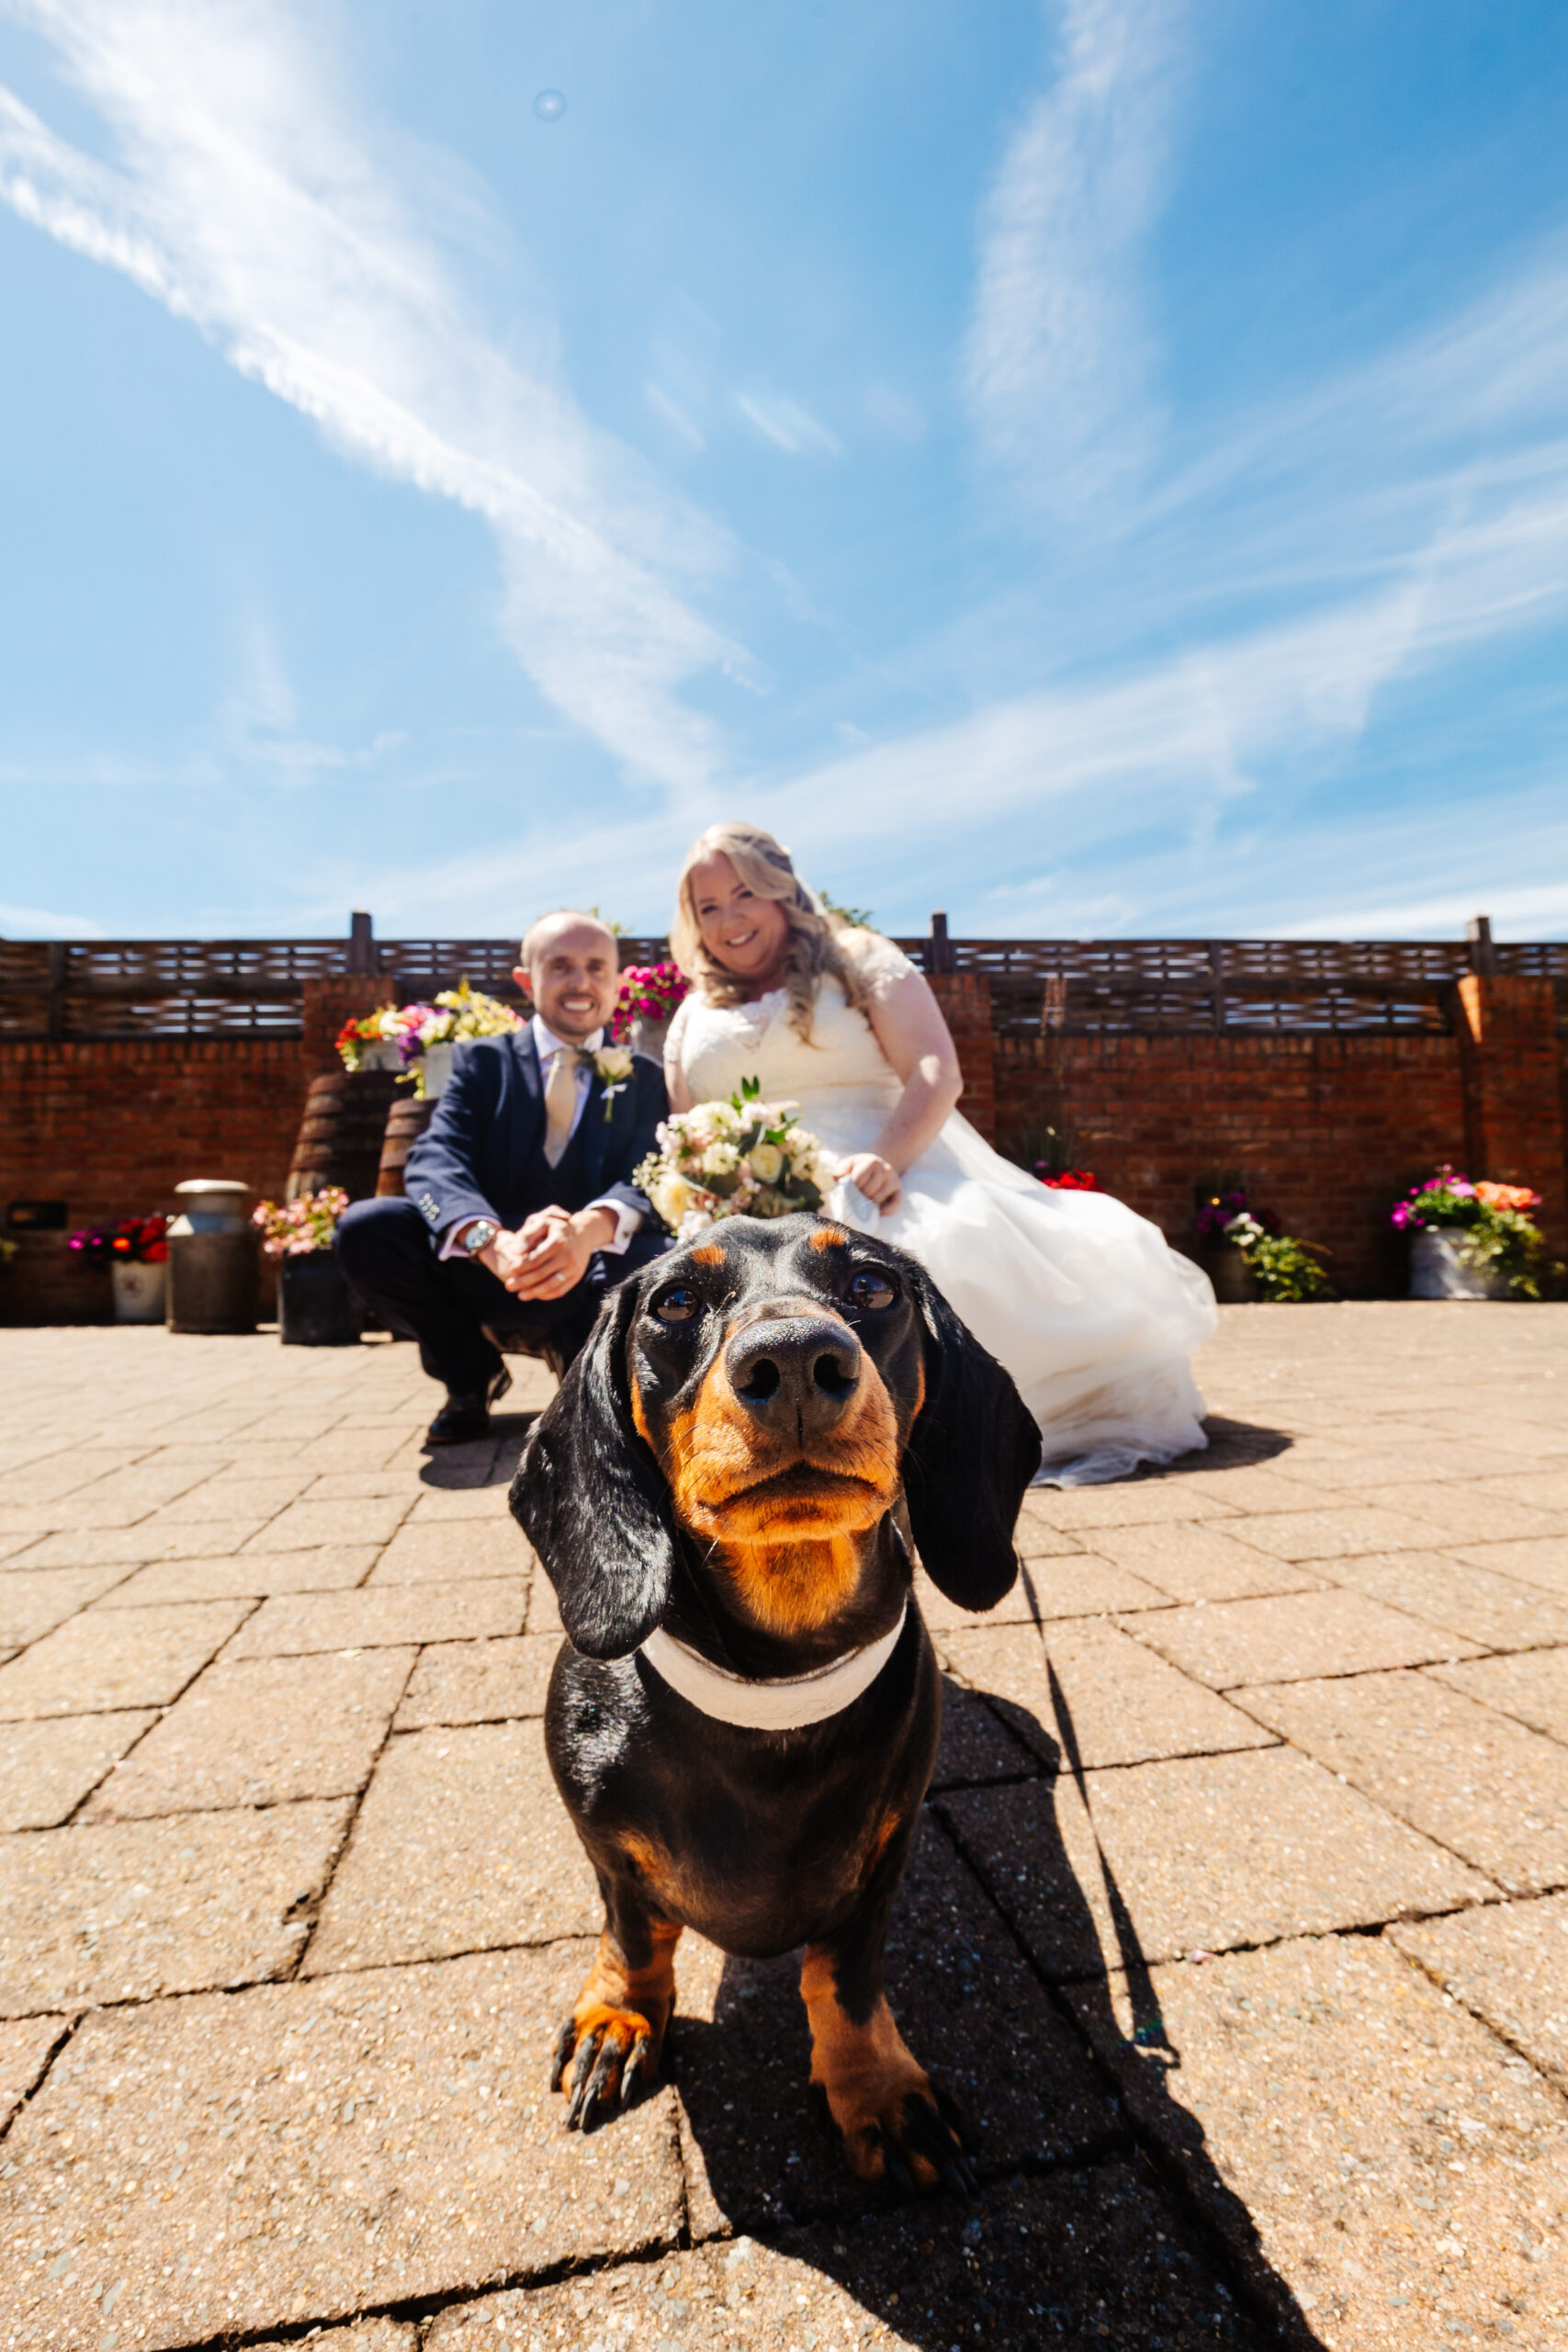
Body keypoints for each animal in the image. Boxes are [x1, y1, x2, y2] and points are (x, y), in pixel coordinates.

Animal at [512, 1223, 1043, 2191]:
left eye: (872, 1286)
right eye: (675, 1301)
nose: (795, 1357)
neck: (771, 1696)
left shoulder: (882, 1858)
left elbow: (843, 1976)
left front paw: (874, 2086)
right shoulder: (608, 1846)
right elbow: (635, 1934)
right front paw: (620, 2019)